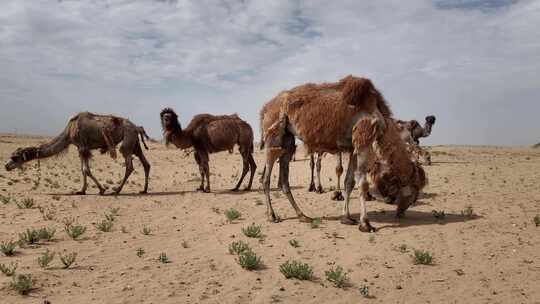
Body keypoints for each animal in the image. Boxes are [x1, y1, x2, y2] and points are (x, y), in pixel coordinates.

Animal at [4, 112, 152, 195]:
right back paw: (143, 190)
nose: (6, 166)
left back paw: (116, 190)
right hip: (135, 143)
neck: (69, 132)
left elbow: (86, 170)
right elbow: (83, 170)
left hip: (127, 140)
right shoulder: (81, 148)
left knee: (129, 165)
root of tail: (136, 127)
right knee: (146, 164)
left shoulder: (82, 147)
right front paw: (82, 190)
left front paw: (101, 190)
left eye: (15, 157)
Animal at [260, 75, 426, 232]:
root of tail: (265, 108)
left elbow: (349, 182)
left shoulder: (353, 148)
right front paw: (365, 224)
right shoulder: (364, 139)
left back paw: (302, 215)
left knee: (284, 179)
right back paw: (272, 215)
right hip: (273, 134)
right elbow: (363, 183)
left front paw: (346, 218)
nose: (401, 212)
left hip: (287, 139)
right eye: (414, 192)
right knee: (266, 176)